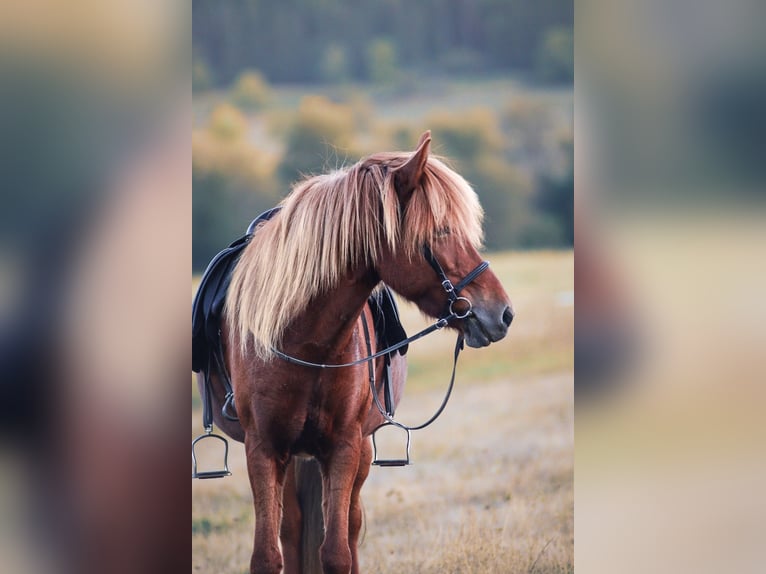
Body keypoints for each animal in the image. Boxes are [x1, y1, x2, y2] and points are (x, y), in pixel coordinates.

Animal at [201, 131, 513, 574]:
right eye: (441, 232)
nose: (503, 312)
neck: (303, 341)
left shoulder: (345, 447)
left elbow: (337, 552)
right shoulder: (263, 448)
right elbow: (267, 555)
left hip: (358, 454)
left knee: (349, 525)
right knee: (292, 529)